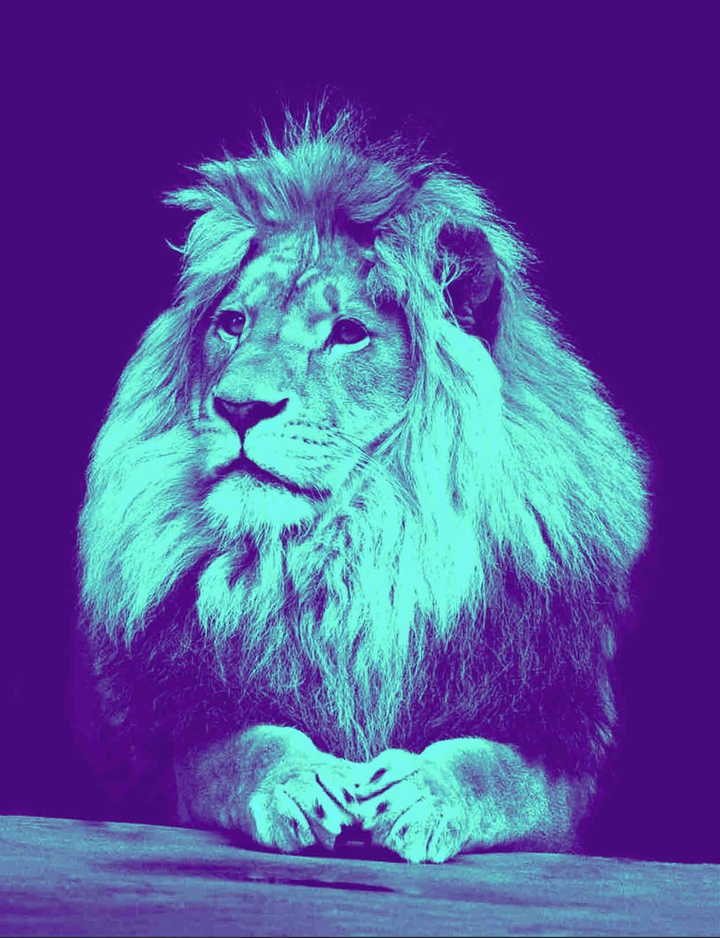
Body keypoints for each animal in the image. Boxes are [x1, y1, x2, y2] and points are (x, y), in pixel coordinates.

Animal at [76, 105, 650, 863]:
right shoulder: (176, 740)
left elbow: (495, 771)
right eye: (232, 324)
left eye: (348, 333)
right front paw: (299, 782)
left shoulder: (559, 751)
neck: (355, 552)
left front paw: (423, 792)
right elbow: (242, 749)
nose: (239, 408)